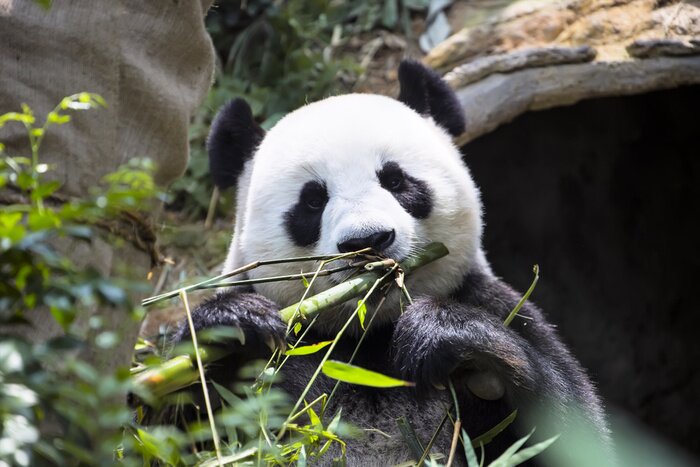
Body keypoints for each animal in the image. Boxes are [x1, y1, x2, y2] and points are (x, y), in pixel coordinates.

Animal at [174, 61, 611, 465]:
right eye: (312, 200)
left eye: (396, 180)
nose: (367, 241)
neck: (370, 335)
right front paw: (235, 324)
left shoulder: (494, 303)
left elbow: (575, 427)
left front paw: (447, 339)